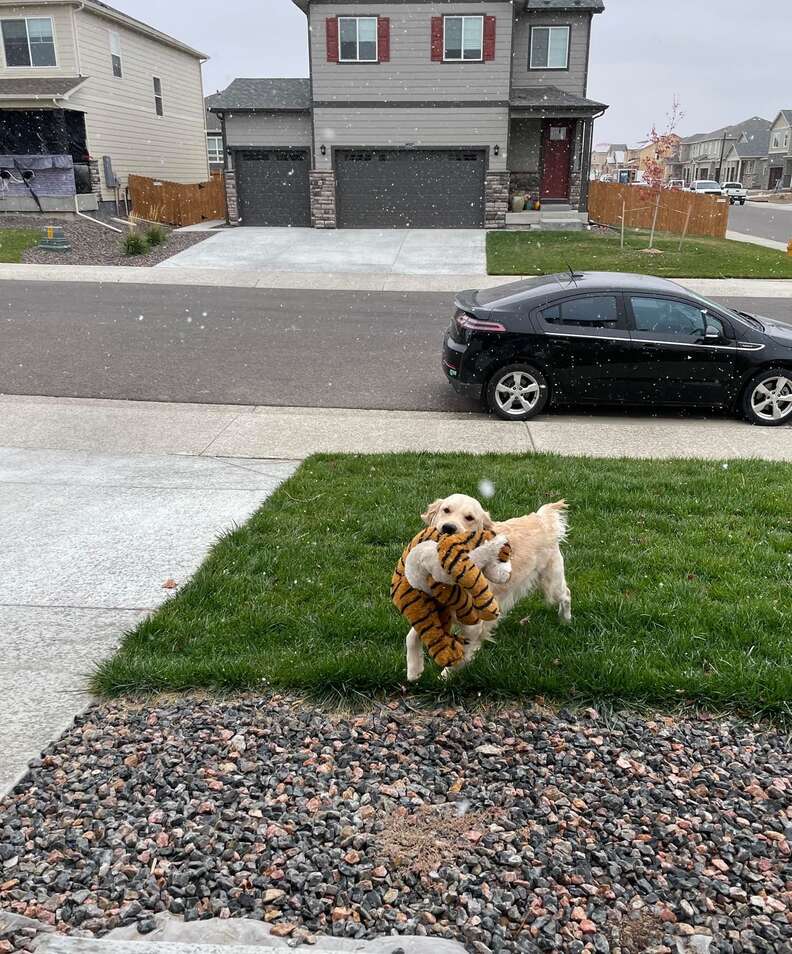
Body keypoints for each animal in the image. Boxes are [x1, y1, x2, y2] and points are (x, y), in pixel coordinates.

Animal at [408, 490, 568, 676]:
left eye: (469, 518)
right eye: (446, 510)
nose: (448, 527)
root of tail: (541, 518)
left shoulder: (474, 625)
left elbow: (461, 653)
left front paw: (446, 674)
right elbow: (412, 636)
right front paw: (414, 669)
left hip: (552, 584)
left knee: (566, 595)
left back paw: (565, 619)